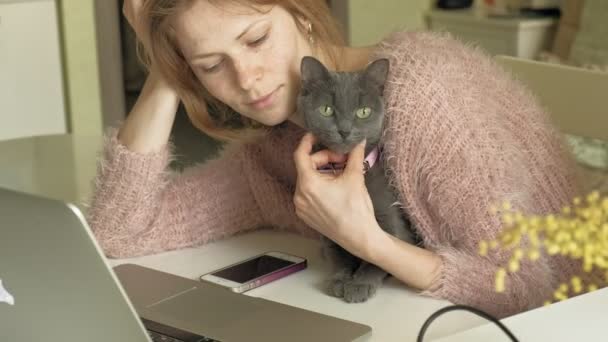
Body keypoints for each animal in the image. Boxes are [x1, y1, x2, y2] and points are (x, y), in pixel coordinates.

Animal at [296, 56, 418, 304]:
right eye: (326, 110)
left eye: (363, 112)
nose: (344, 130)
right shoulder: (327, 228)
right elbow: (339, 254)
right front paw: (340, 279)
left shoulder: (390, 220)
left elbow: (378, 253)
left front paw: (360, 285)